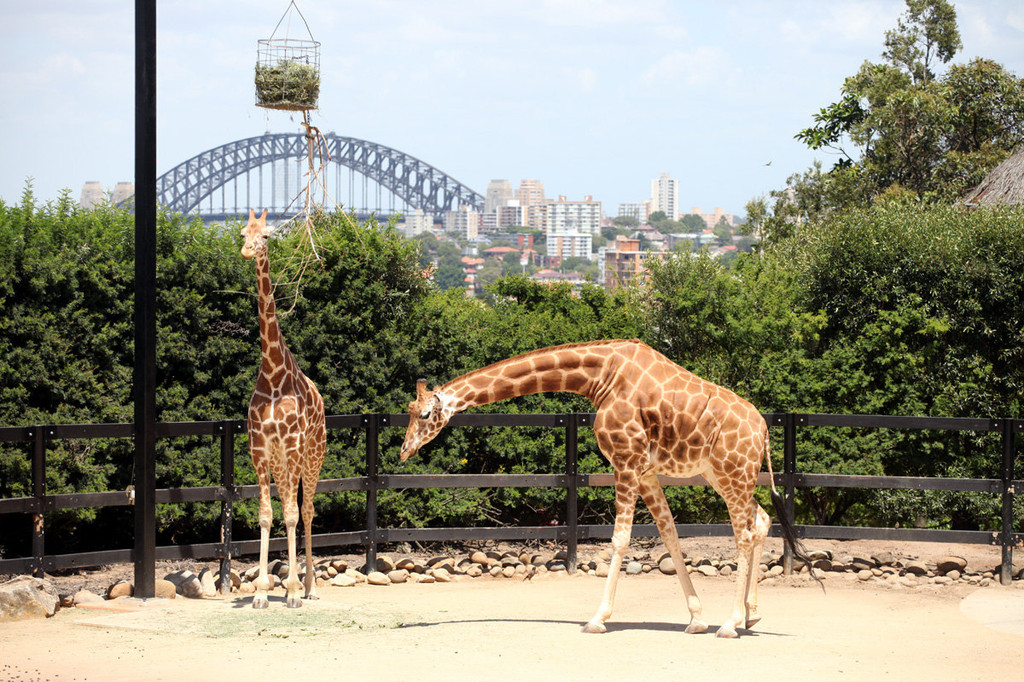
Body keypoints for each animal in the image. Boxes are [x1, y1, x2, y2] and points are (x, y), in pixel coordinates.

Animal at [399, 337, 815, 634]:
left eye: (425, 414)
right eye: (409, 411)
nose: (404, 451)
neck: (599, 377)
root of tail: (764, 432)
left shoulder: (626, 461)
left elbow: (620, 539)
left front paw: (597, 618)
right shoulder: (645, 470)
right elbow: (669, 535)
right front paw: (696, 618)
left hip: (733, 472)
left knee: (744, 532)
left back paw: (730, 624)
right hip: (724, 474)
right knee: (761, 521)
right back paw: (750, 615)